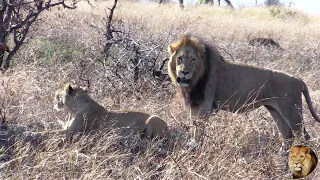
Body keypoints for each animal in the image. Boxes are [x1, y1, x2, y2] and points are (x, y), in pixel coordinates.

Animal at [168, 34, 320, 142]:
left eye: (193, 59)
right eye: (180, 58)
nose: (184, 72)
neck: (195, 79)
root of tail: (298, 79)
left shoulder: (205, 105)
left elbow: (198, 128)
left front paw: (195, 145)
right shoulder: (194, 104)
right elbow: (193, 125)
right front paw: (191, 143)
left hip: (293, 112)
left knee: (304, 136)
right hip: (275, 110)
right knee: (287, 135)